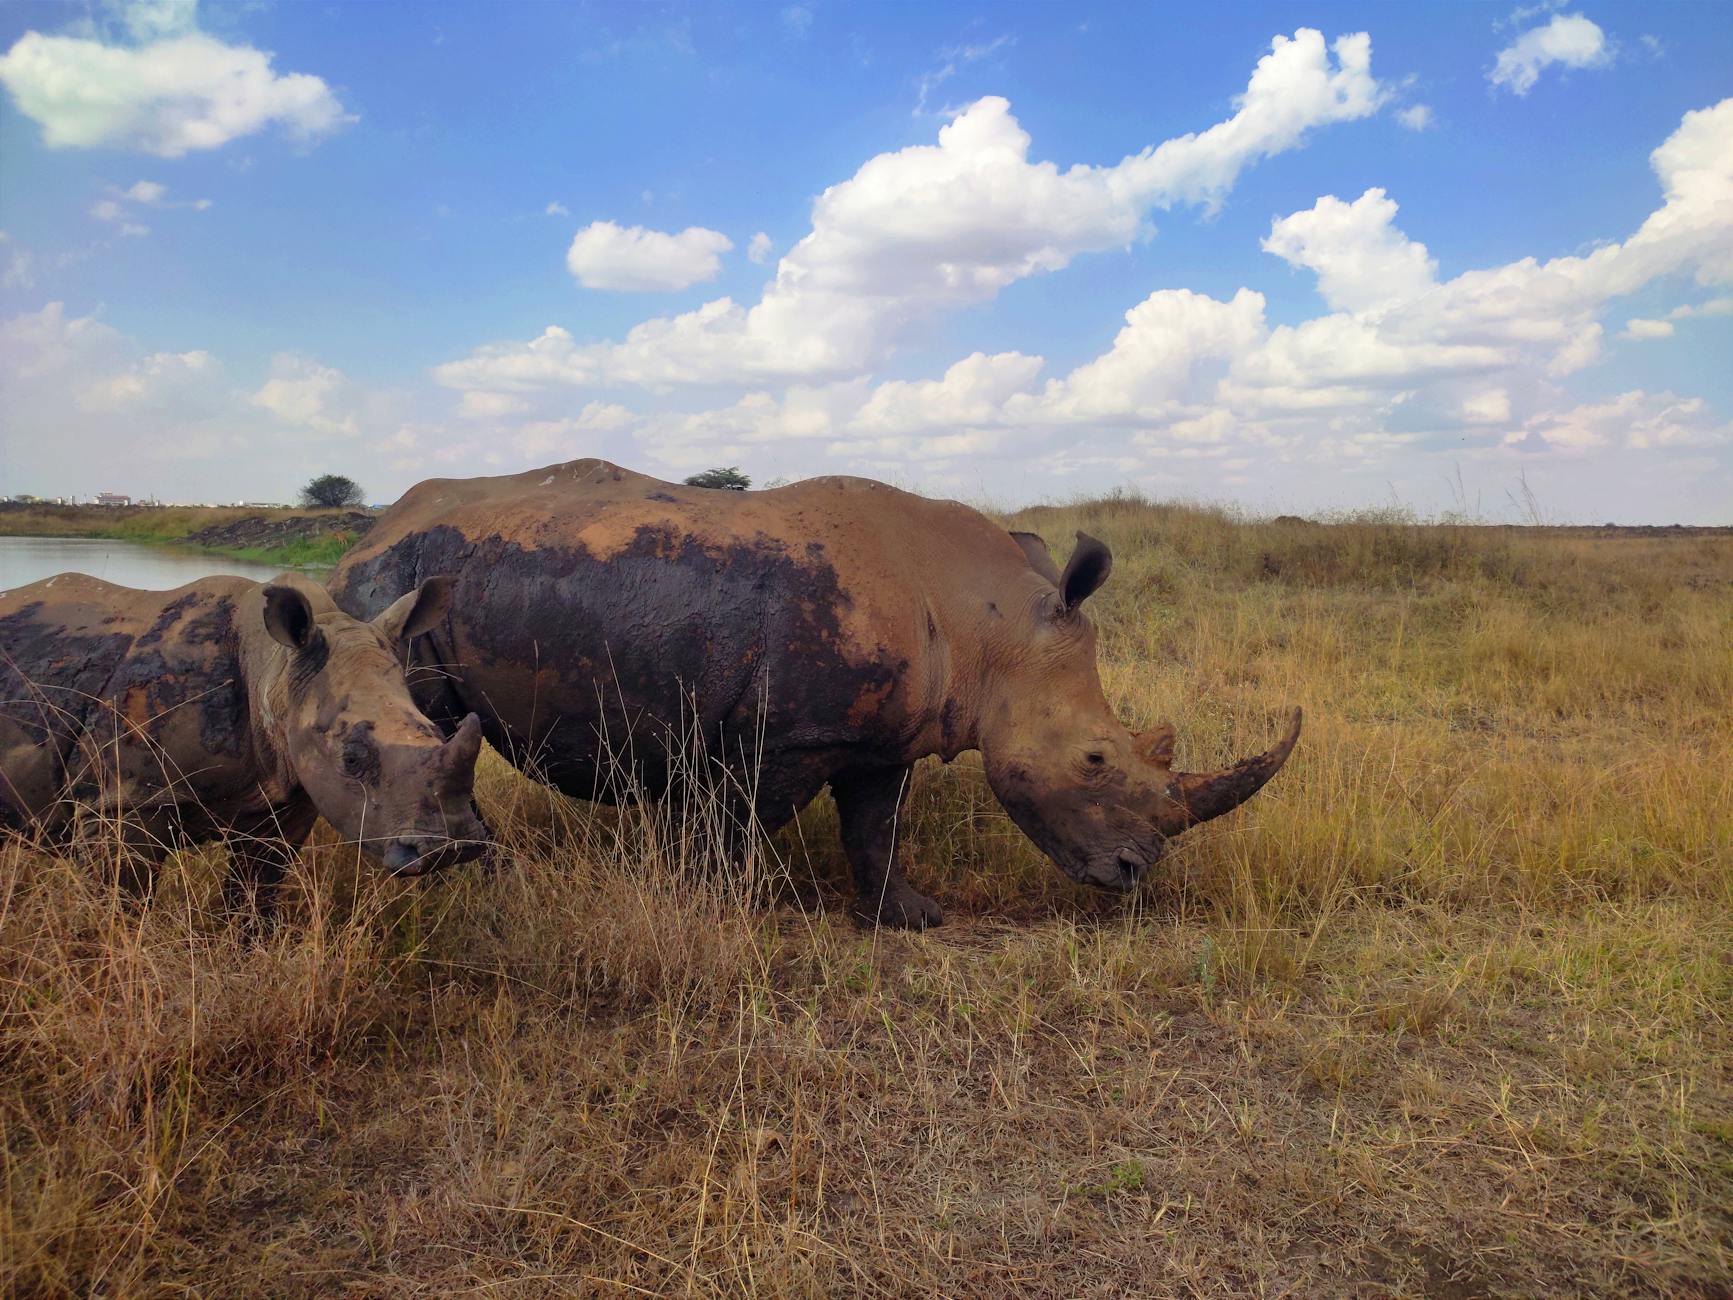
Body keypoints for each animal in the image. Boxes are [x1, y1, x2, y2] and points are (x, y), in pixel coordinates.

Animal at [0, 571, 489, 911]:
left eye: (436, 732)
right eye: (351, 759)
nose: (453, 845)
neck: (276, 673)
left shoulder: (283, 797)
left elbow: (255, 896)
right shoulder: (124, 799)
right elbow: (120, 903)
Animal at [330, 459, 1299, 928]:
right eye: (1096, 758)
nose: (1133, 876)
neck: (990, 628)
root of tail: (365, 534)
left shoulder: (887, 737)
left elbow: (875, 828)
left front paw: (911, 921)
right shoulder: (785, 736)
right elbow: (734, 831)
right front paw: (709, 907)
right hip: (392, 596)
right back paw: (480, 875)